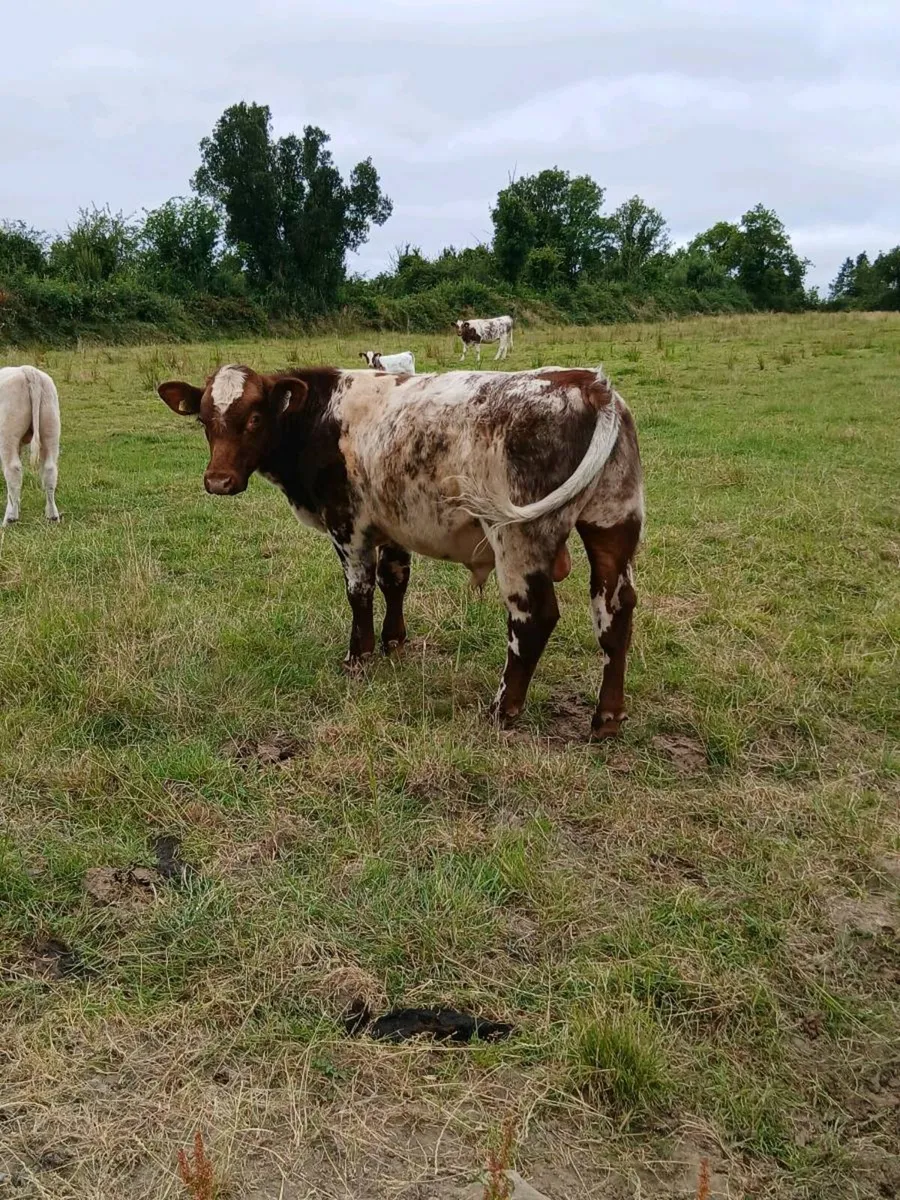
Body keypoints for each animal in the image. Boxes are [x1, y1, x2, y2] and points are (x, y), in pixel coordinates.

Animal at [0, 365, 61, 525]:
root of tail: (27, 370)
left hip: (7, 434)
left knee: (13, 470)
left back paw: (10, 519)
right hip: (51, 429)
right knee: (49, 470)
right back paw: (52, 516)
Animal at [158, 363, 642, 739]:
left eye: (255, 418)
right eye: (203, 420)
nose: (218, 481)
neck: (319, 417)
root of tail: (589, 383)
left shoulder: (347, 523)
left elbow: (359, 591)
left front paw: (359, 656)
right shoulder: (390, 524)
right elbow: (395, 581)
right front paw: (394, 642)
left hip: (520, 538)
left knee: (533, 618)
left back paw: (503, 709)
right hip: (613, 523)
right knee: (615, 612)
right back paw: (606, 718)